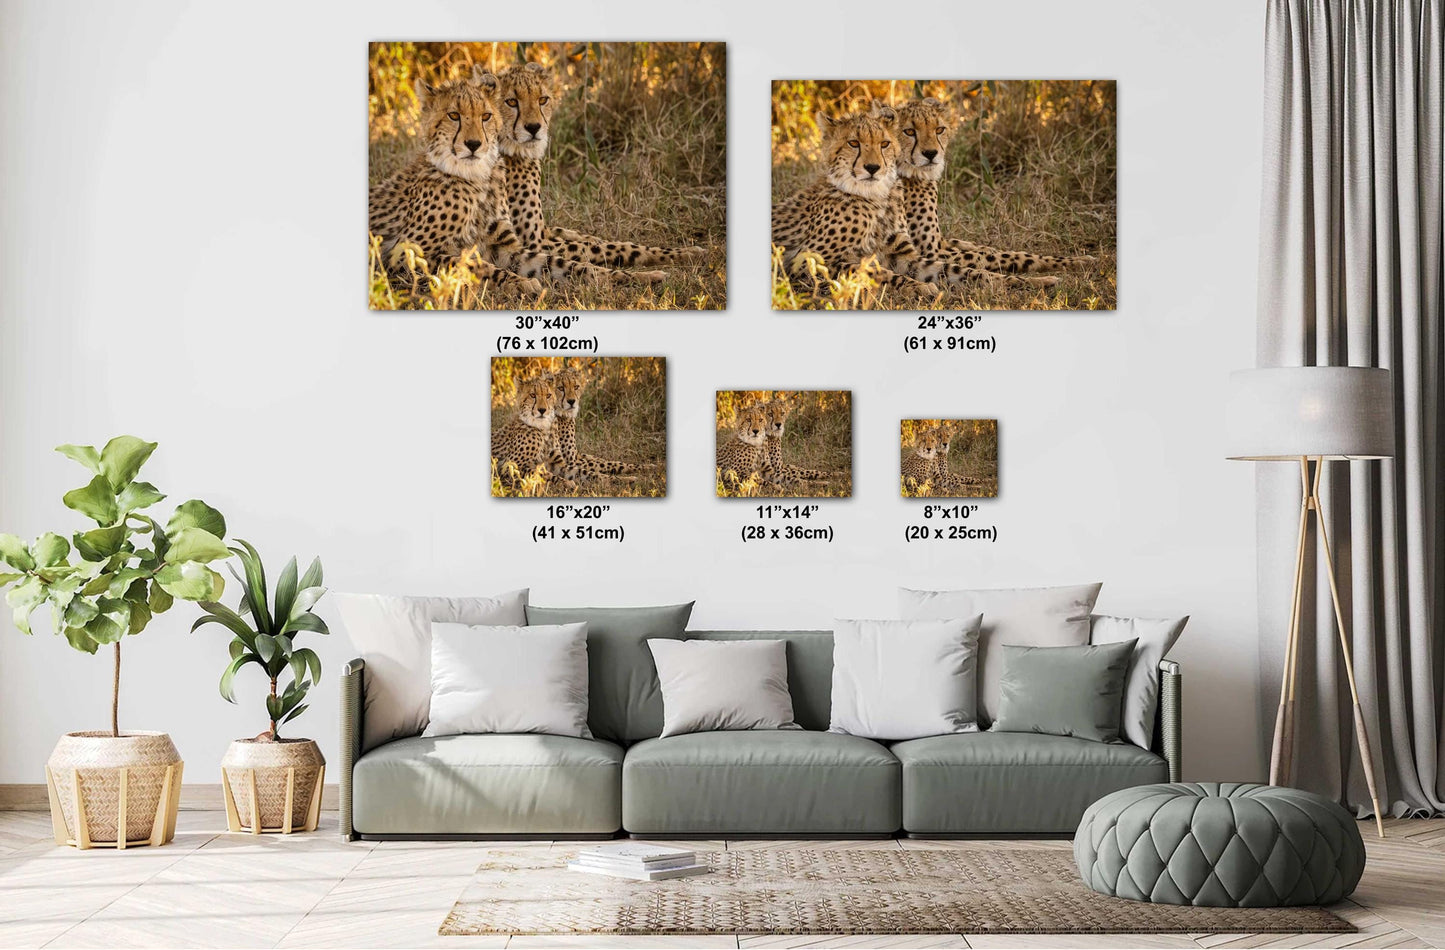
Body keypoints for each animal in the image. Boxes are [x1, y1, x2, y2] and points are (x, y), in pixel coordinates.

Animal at [493, 62, 703, 272]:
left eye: (542, 99)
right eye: (511, 102)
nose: (534, 127)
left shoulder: (543, 234)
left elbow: (583, 236)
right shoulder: (534, 242)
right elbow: (614, 248)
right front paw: (683, 253)